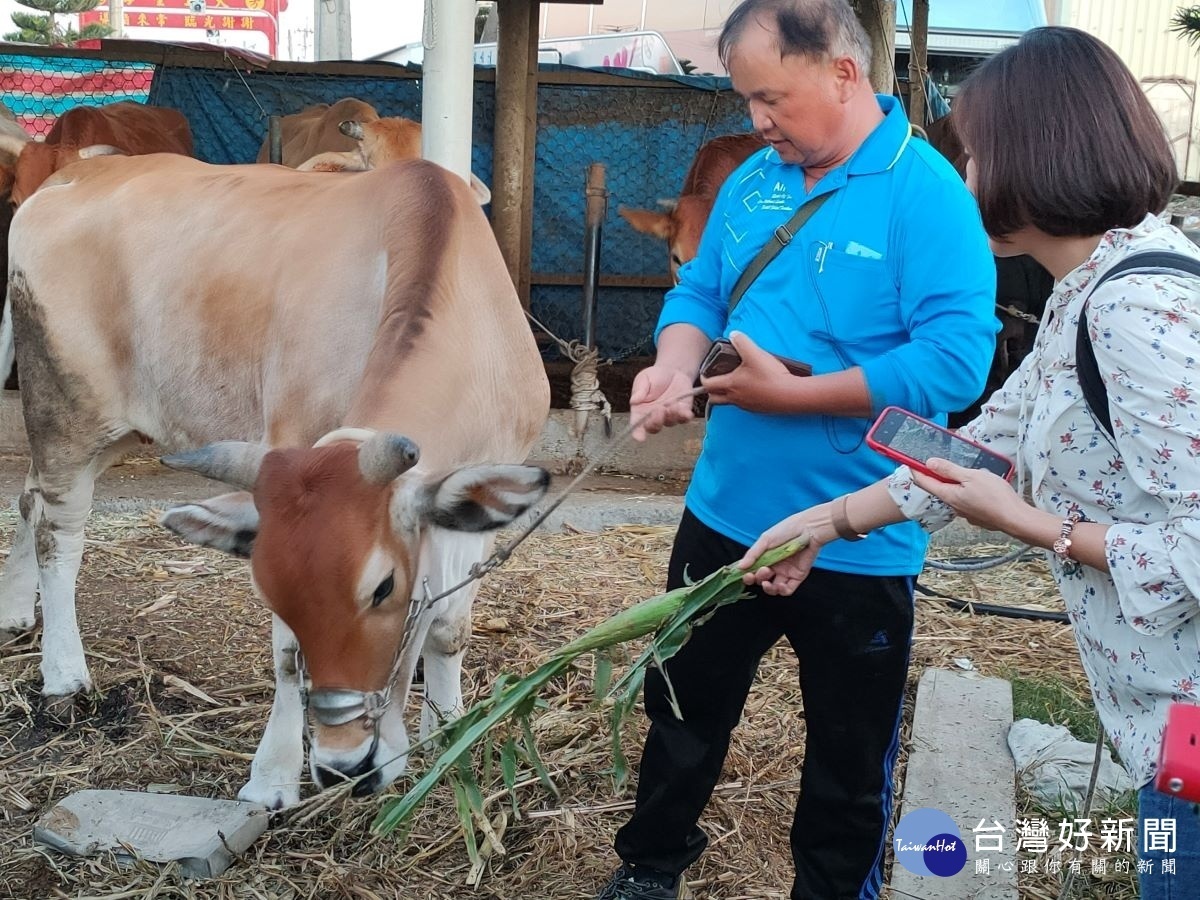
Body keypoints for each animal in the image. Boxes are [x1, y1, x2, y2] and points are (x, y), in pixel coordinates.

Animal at [0, 157, 549, 811]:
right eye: (272, 591)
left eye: (385, 589)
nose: (346, 765)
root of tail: (73, 172)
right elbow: (288, 657)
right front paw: (273, 777)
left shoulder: (478, 499)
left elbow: (447, 626)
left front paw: (447, 731)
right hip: (64, 412)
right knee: (57, 533)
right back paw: (63, 673)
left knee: (28, 501)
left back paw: (14, 611)